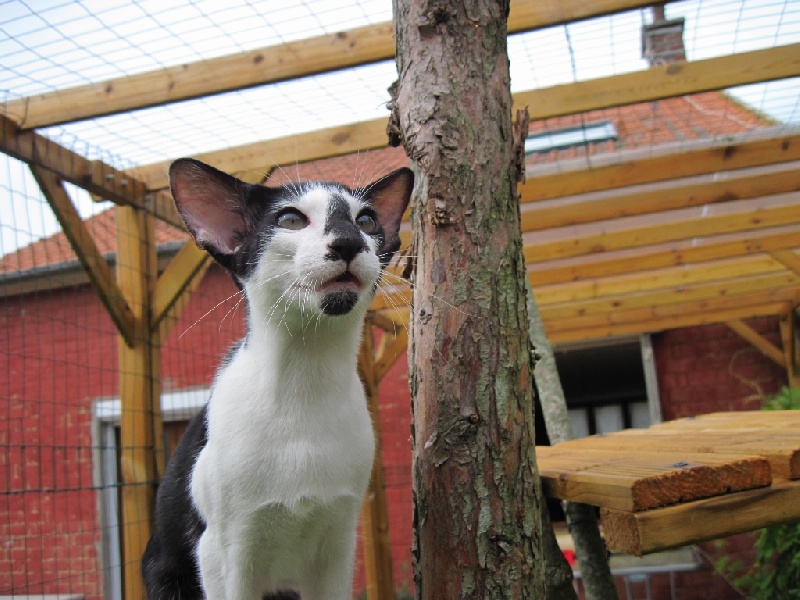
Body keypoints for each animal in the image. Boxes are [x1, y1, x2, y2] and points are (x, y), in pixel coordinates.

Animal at [144, 158, 416, 600]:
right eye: (289, 219)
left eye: (366, 220)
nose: (347, 242)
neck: (305, 383)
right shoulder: (224, 551)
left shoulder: (338, 546)